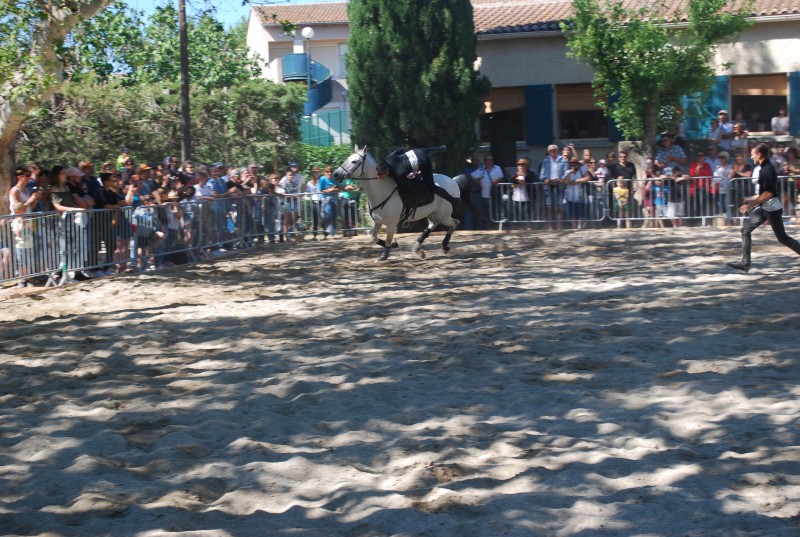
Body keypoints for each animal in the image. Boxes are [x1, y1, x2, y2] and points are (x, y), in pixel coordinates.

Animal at [332, 142, 468, 260]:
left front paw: (385, 254)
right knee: (433, 224)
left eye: (354, 161)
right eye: (347, 158)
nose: (336, 174)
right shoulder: (378, 222)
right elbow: (373, 237)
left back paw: (444, 245)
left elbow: (387, 239)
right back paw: (418, 248)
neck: (382, 190)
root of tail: (453, 181)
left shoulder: (391, 224)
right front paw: (394, 244)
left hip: (443, 215)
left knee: (454, 223)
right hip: (432, 213)